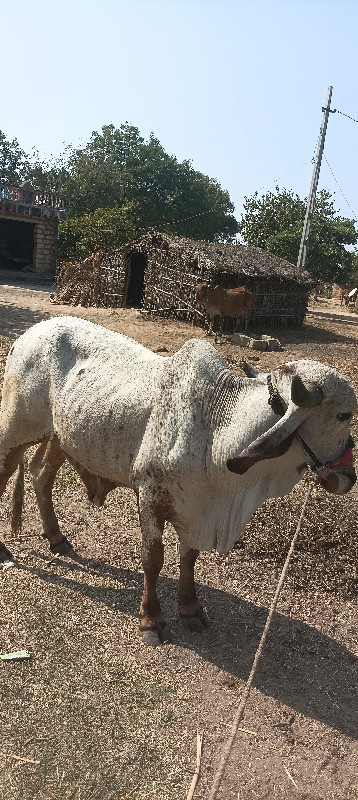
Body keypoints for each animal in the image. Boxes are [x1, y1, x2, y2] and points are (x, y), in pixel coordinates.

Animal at [1, 316, 356, 648]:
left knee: (41, 475)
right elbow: (153, 559)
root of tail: (29, 334)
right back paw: (7, 551)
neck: (217, 428)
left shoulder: (196, 509)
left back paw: (57, 538)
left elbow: (189, 558)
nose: (348, 477)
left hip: (59, 438)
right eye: (343, 415)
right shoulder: (150, 496)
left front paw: (189, 609)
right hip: (14, 431)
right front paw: (151, 620)